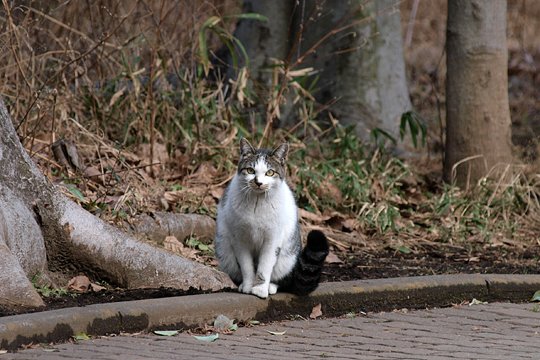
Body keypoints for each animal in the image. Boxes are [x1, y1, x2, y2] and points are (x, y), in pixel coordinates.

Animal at [215, 138, 330, 298]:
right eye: (250, 170)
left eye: (270, 172)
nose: (258, 182)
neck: (257, 203)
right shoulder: (239, 239)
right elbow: (246, 266)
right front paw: (248, 286)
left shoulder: (273, 239)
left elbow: (265, 266)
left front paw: (260, 289)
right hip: (224, 250)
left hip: (287, 258)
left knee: (283, 281)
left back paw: (271, 287)